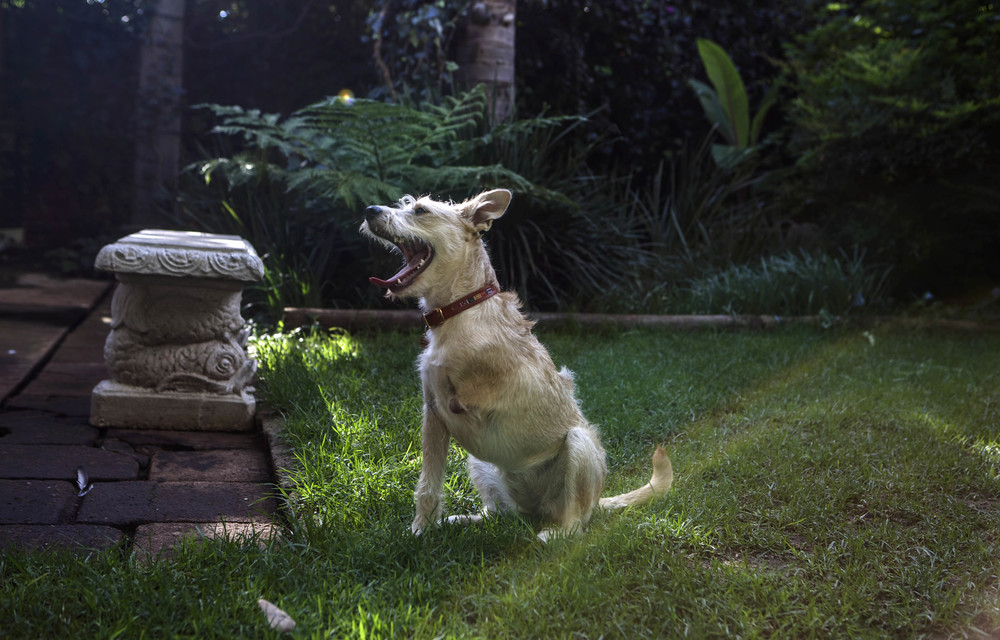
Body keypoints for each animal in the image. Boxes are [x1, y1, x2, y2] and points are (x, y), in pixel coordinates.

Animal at [360, 186, 672, 540]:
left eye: (421, 211)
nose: (369, 210)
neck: (461, 309)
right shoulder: (432, 413)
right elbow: (429, 481)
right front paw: (420, 530)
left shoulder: (466, 409)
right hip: (482, 467)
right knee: (501, 513)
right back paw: (463, 520)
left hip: (579, 445)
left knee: (576, 523)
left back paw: (554, 533)